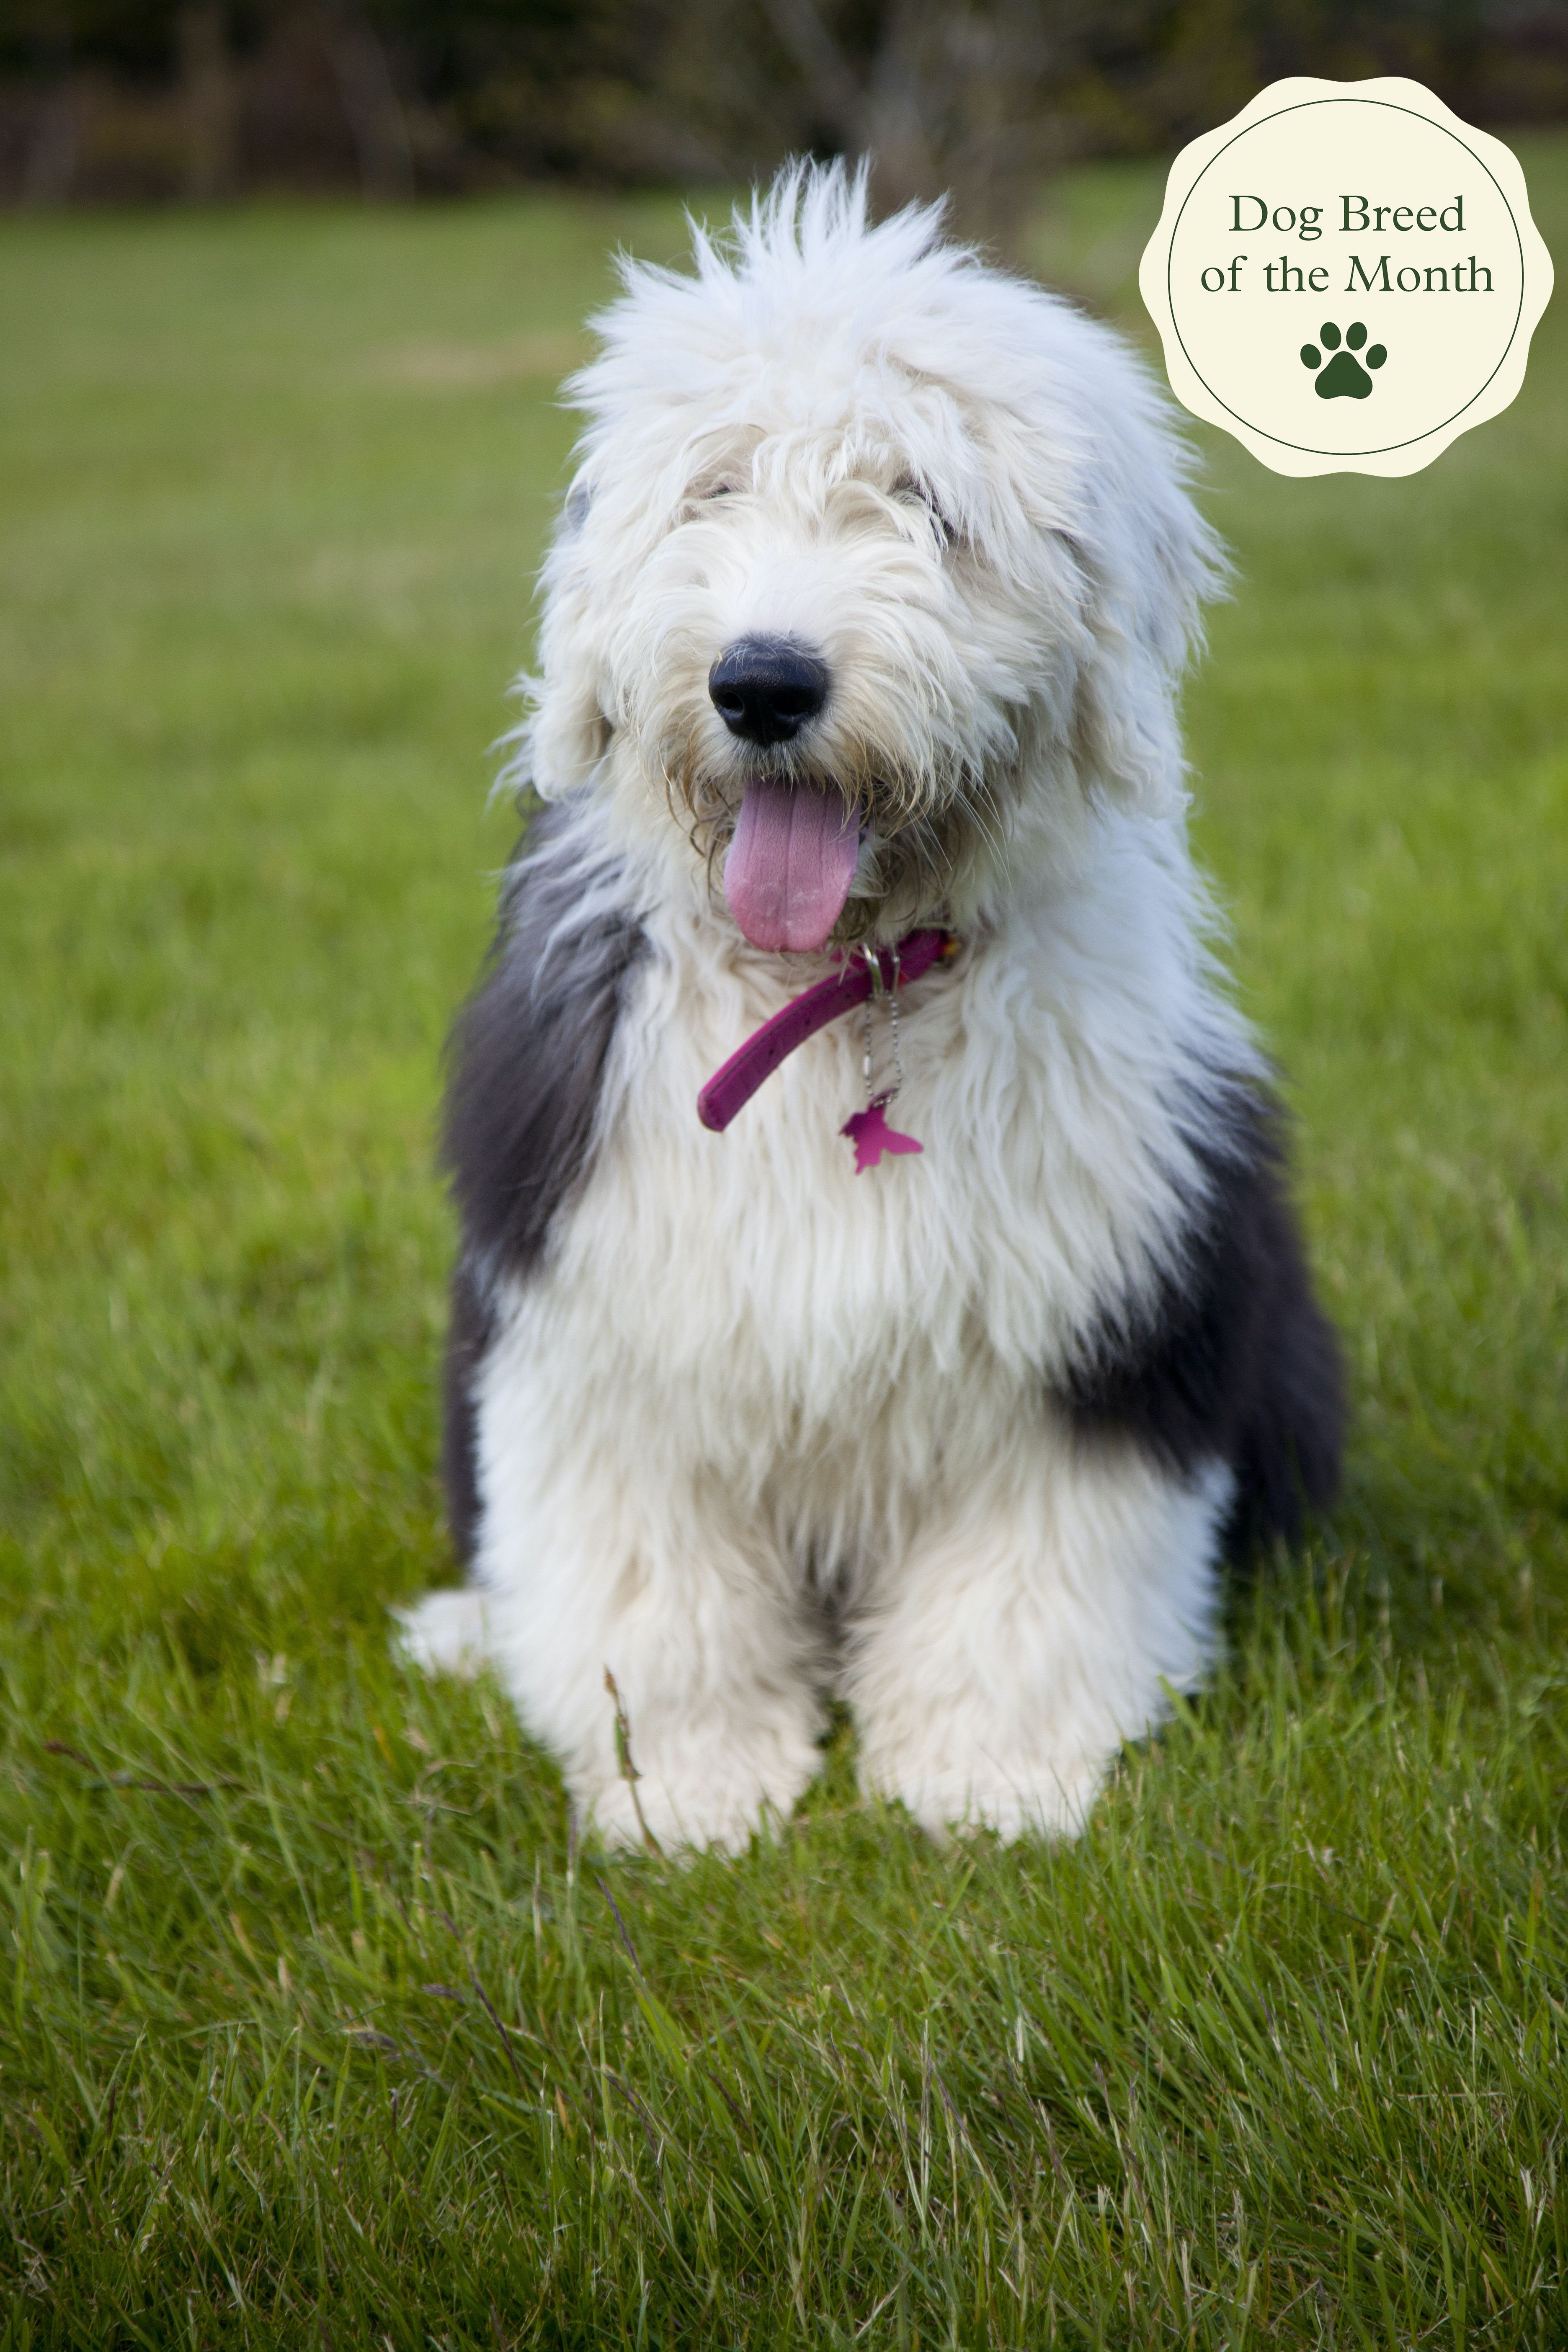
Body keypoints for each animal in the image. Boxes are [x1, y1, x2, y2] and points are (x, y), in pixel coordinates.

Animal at [400, 165, 1344, 1853]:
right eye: (711, 491)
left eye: (926, 507)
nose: (765, 684)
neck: (836, 997)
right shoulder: (604, 1314)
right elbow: (648, 1591)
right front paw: (690, 1790)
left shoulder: (1094, 1317)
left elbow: (1029, 1580)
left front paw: (989, 1779)